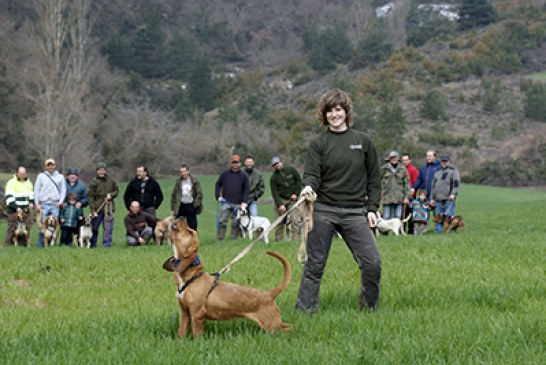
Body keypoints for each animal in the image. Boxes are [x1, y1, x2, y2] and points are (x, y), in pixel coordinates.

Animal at [162, 216, 292, 338]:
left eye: (190, 232)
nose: (181, 217)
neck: (191, 278)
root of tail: (269, 295)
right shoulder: (184, 313)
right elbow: (181, 332)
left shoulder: (197, 314)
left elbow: (196, 335)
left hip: (272, 325)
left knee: (288, 327)